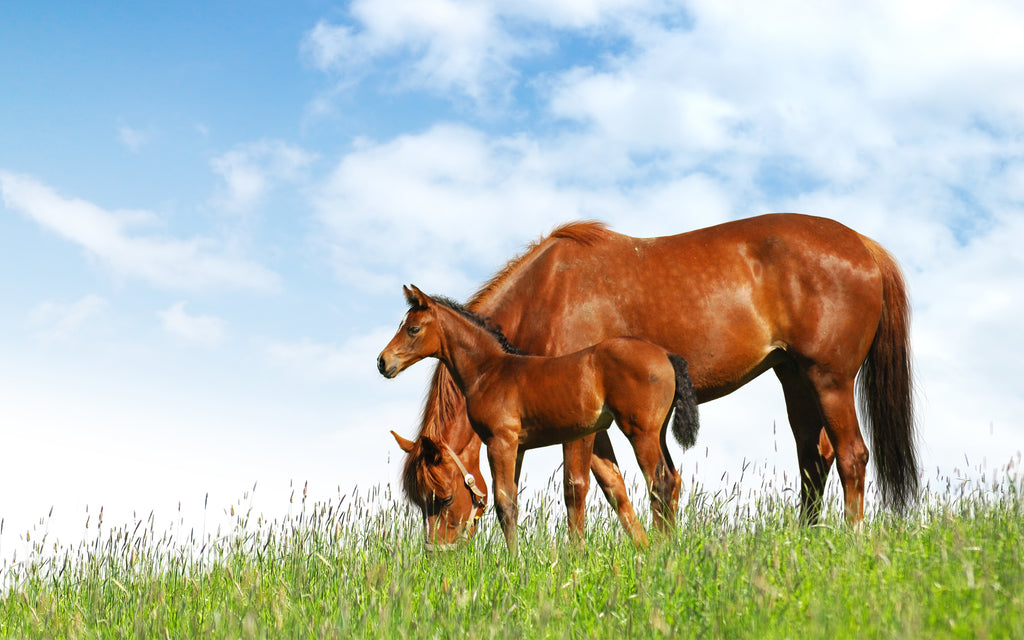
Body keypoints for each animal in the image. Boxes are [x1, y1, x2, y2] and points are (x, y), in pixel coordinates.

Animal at [380, 284, 700, 548]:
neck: (490, 371)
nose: (383, 362)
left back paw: (660, 550)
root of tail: (666, 355)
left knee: (659, 483)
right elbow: (512, 499)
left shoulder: (500, 442)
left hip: (640, 431)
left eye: (413, 329)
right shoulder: (518, 447)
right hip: (657, 432)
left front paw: (514, 563)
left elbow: (505, 504)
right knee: (672, 480)